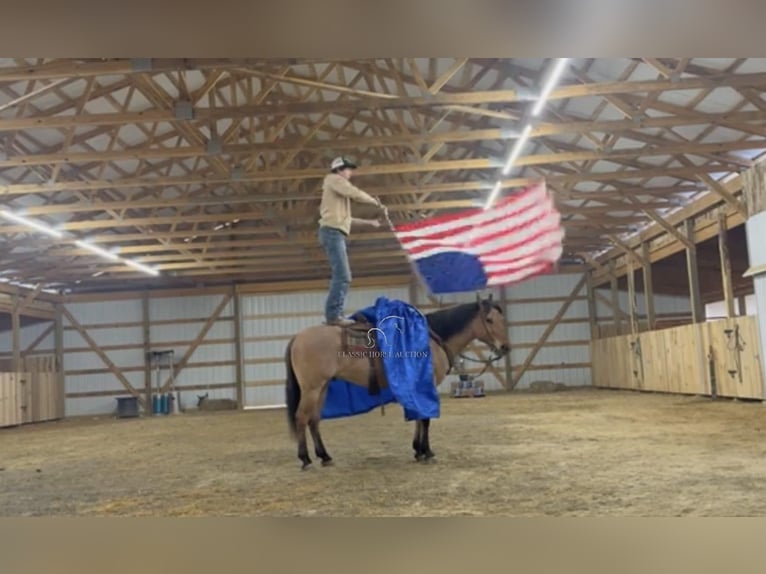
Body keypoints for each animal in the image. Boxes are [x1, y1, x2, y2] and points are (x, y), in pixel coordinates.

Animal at [284, 294, 512, 470]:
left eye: (501, 318)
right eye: (489, 320)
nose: (505, 347)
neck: (430, 339)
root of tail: (298, 337)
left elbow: (419, 417)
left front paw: (418, 451)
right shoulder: (424, 385)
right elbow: (425, 418)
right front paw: (427, 452)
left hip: (322, 387)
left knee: (314, 420)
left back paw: (325, 457)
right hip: (311, 388)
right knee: (301, 418)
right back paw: (305, 459)